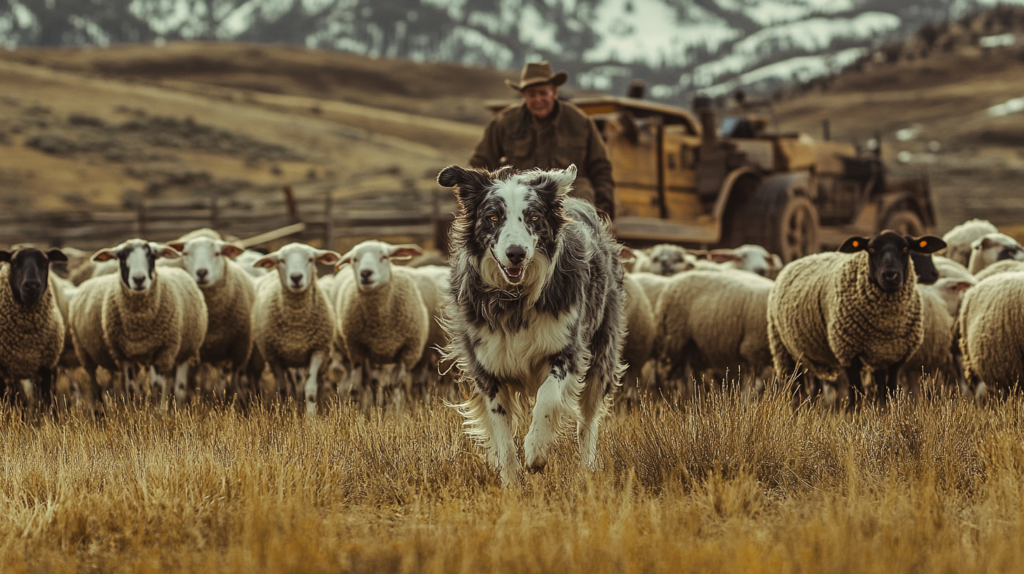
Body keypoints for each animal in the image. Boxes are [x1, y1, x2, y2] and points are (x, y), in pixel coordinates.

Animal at [87, 239, 208, 409]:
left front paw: (158, 412)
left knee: (179, 387)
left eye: (151, 255)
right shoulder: (125, 356)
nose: (139, 279)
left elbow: (157, 388)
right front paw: (135, 410)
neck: (139, 325)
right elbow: (132, 388)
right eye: (122, 257)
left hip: (185, 351)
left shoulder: (162, 352)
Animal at [251, 242, 339, 415]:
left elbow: (310, 388)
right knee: (290, 385)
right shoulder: (274, 357)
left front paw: (311, 417)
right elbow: (282, 389)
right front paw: (282, 414)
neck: (296, 324)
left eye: (311, 259)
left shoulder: (318, 351)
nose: (296, 277)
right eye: (281, 260)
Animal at [333, 240, 430, 407]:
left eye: (384, 257)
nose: (366, 273)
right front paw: (372, 409)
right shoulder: (361, 350)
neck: (381, 326)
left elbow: (397, 384)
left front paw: (395, 411)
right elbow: (368, 382)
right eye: (354, 259)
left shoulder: (407, 352)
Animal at [770, 231, 942, 403]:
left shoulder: (895, 357)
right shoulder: (847, 353)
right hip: (784, 350)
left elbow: (889, 391)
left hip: (814, 355)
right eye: (871, 249)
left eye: (906, 248)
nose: (890, 276)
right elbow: (856, 393)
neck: (886, 323)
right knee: (793, 386)